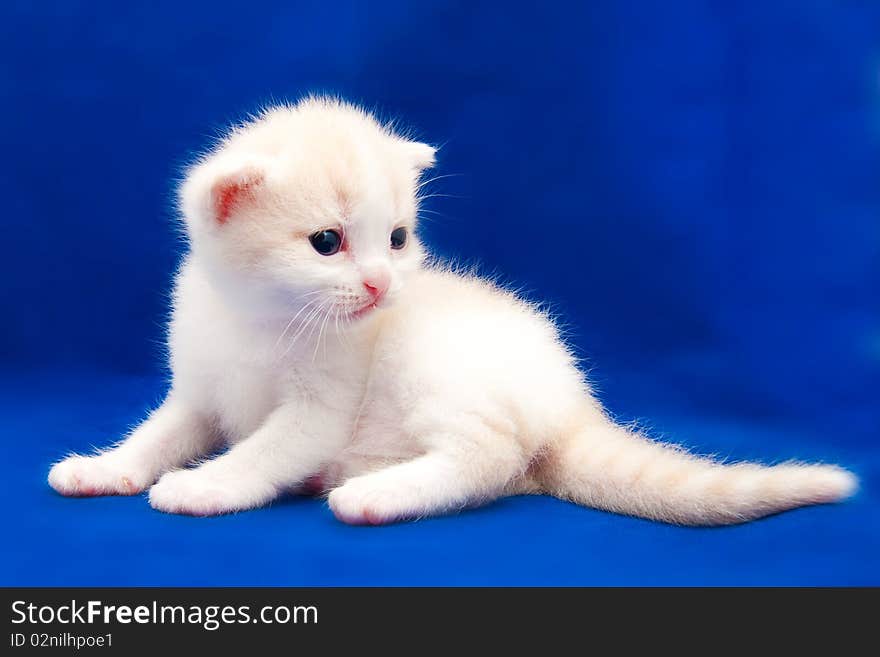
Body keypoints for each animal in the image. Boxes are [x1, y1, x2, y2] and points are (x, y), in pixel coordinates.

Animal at [44, 97, 856, 524]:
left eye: (398, 238)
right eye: (328, 242)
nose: (382, 286)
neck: (263, 320)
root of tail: (572, 399)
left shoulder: (320, 409)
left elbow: (264, 450)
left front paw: (206, 484)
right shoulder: (198, 389)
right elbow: (158, 432)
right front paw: (107, 467)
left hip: (436, 368)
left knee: (489, 458)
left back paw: (373, 491)